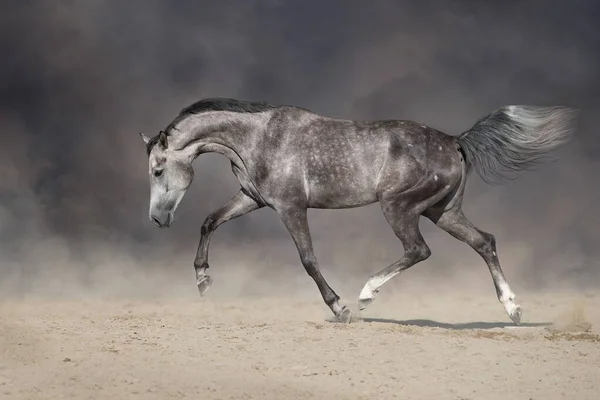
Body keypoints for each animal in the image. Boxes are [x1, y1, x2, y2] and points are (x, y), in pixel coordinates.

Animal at [141, 97, 576, 324]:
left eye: (158, 170)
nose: (158, 219)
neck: (258, 138)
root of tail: (456, 140)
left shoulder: (290, 207)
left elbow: (308, 260)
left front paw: (341, 308)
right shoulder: (253, 198)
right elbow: (209, 221)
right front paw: (202, 279)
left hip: (399, 207)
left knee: (419, 250)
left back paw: (366, 294)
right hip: (443, 211)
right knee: (485, 242)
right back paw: (513, 309)